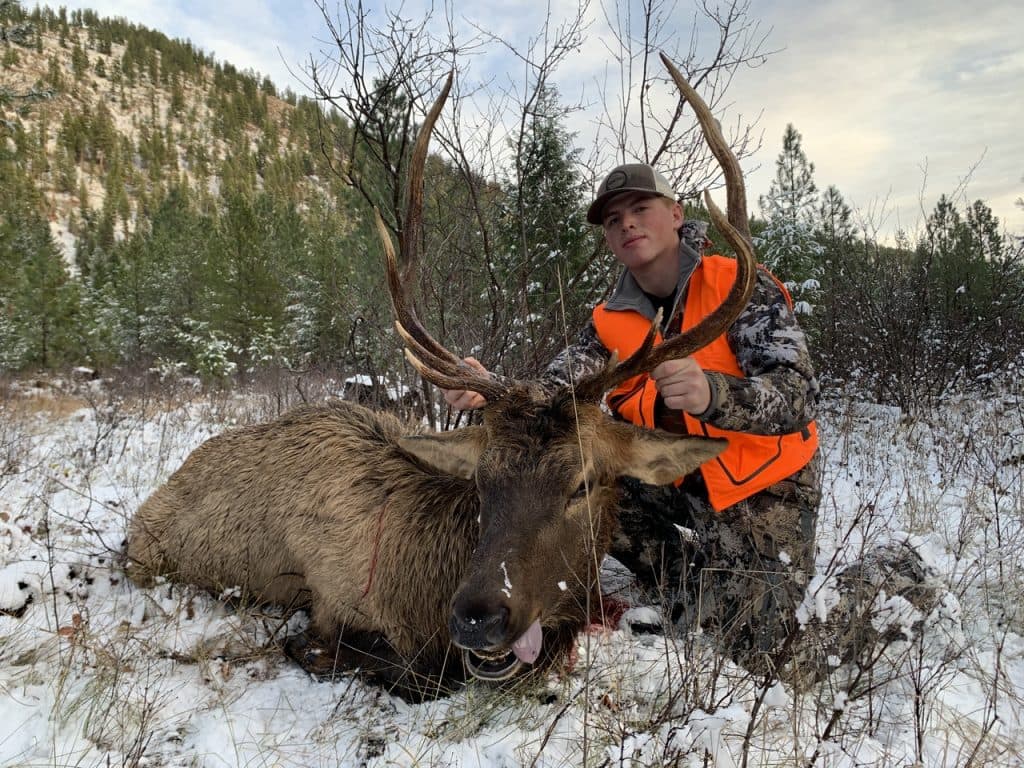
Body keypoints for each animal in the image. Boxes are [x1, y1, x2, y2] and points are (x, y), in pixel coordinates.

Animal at [125, 54, 757, 701]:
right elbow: (386, 666)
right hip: (146, 552)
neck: (424, 586)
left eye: (584, 483)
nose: (479, 618)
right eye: (481, 478)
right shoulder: (335, 609)